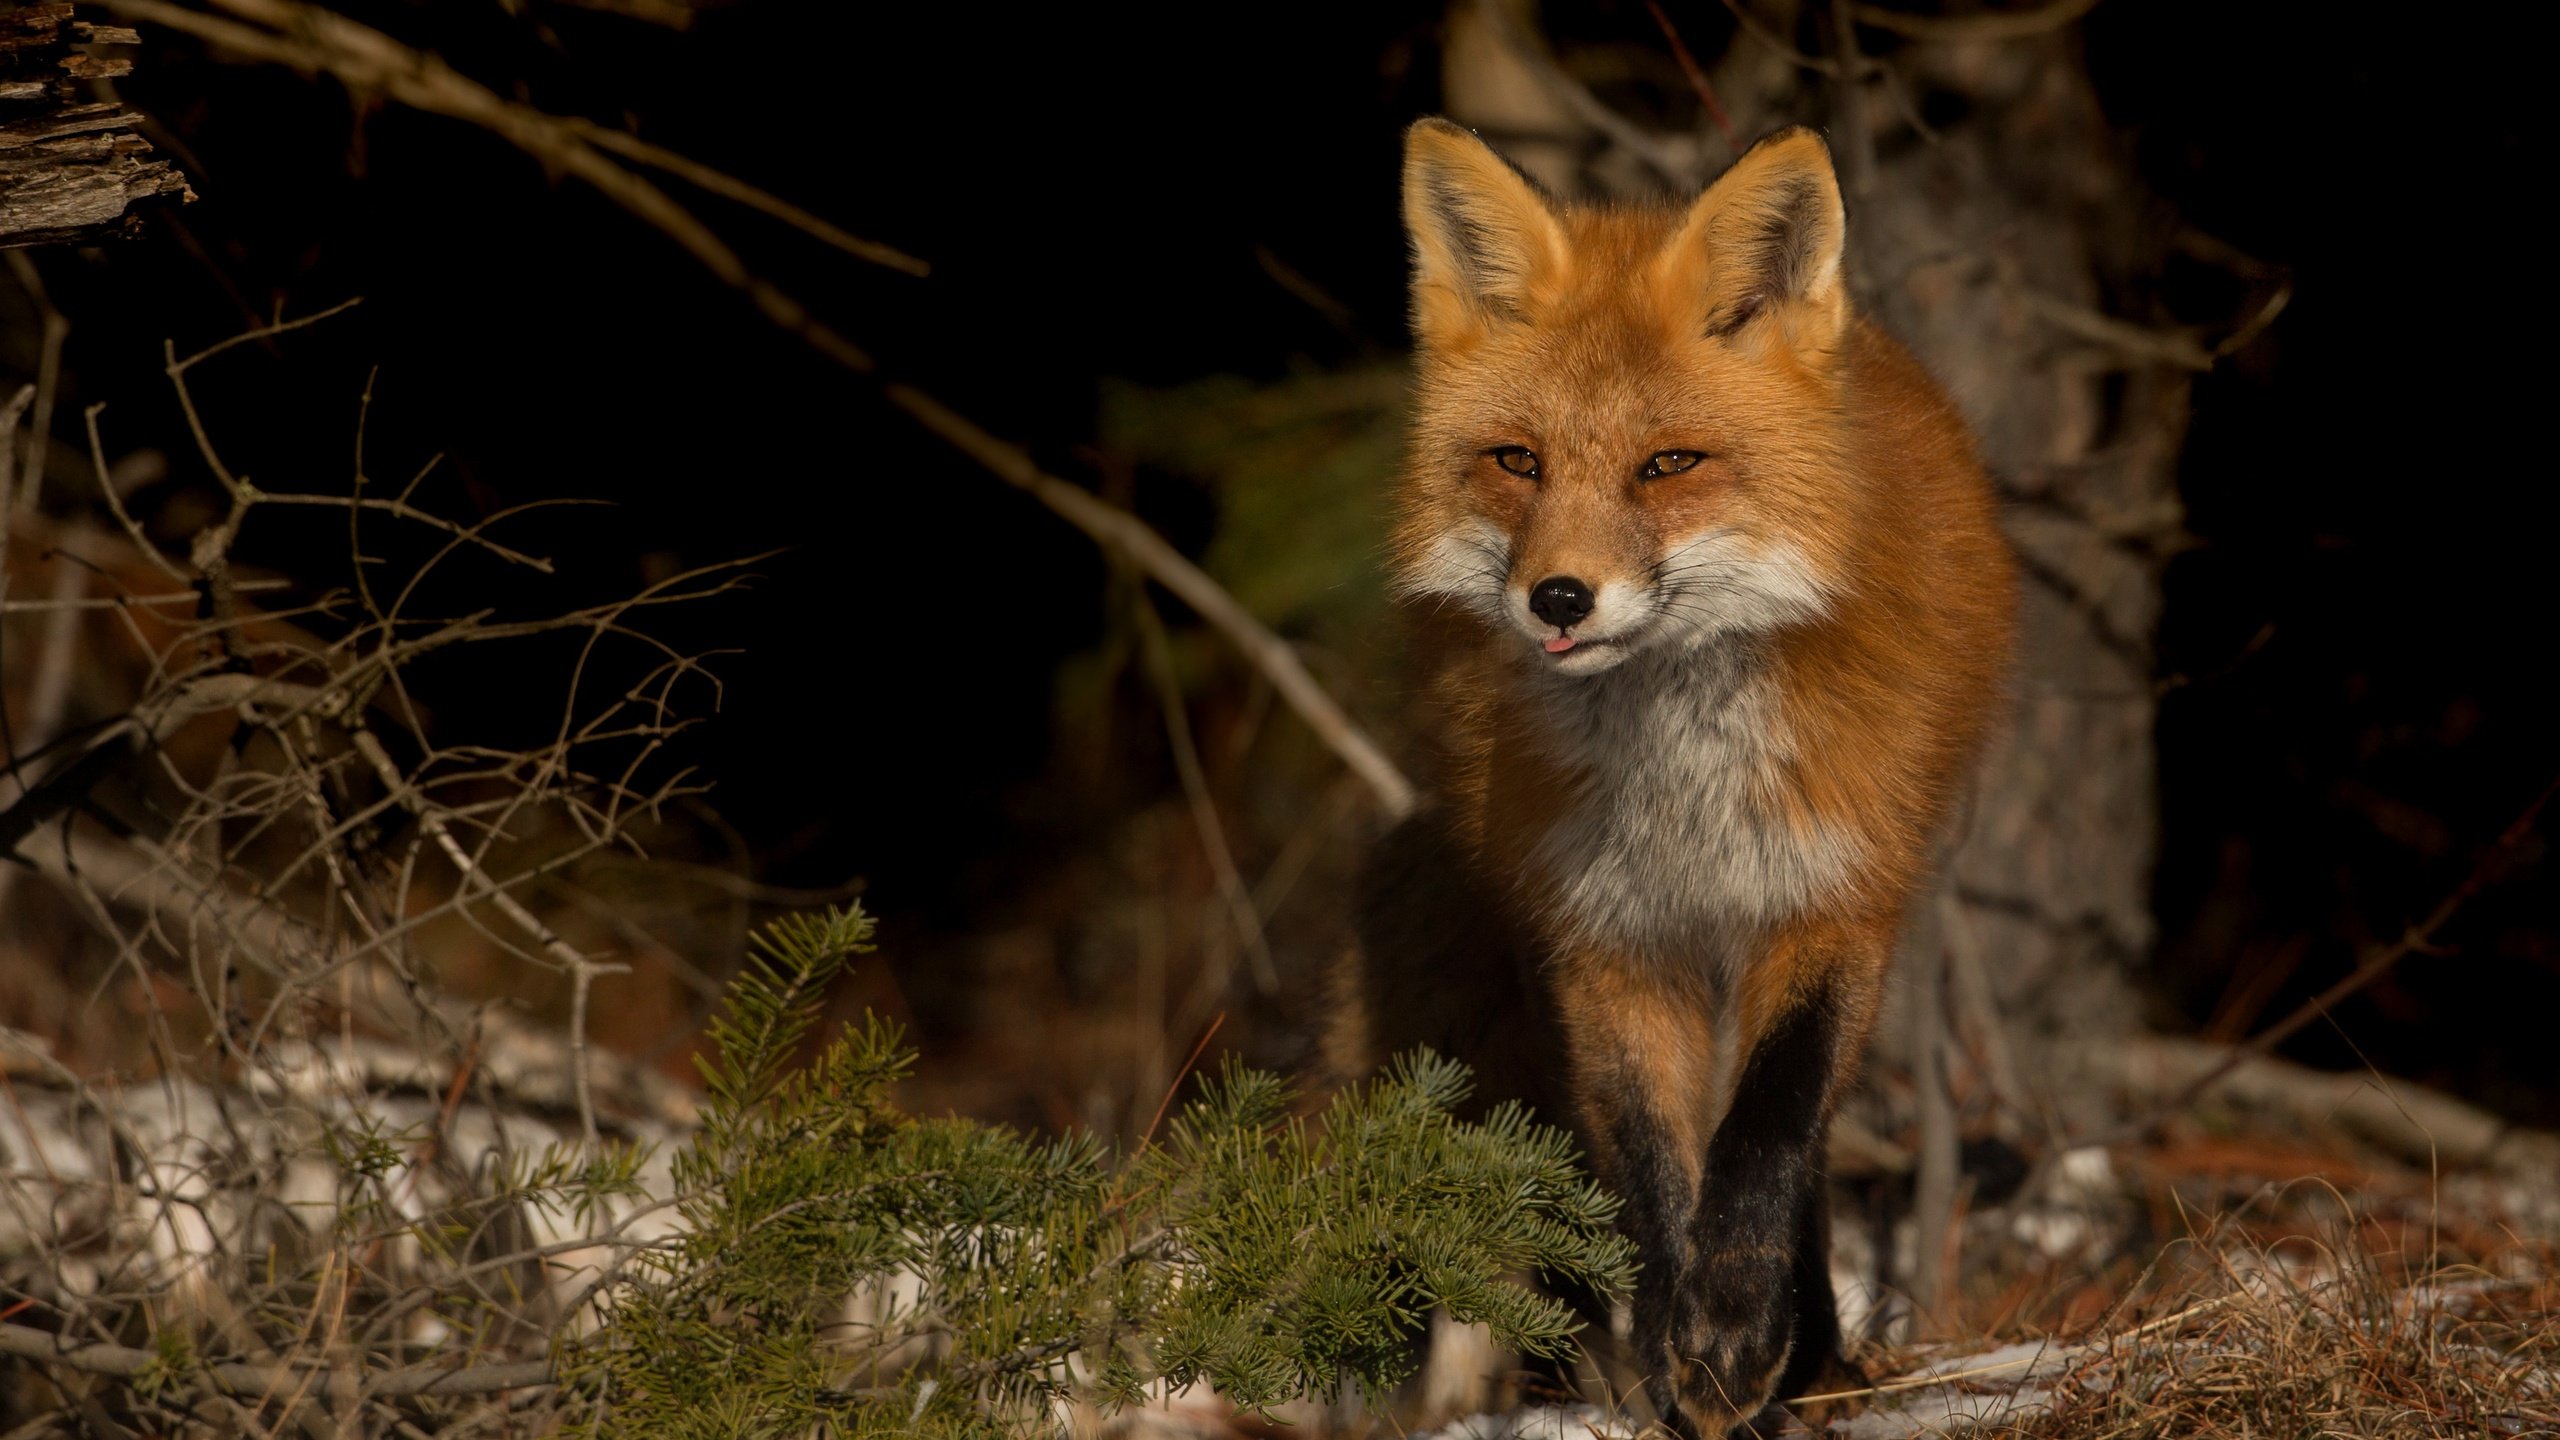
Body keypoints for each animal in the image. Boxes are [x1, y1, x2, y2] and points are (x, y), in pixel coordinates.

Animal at [1331, 122, 2007, 1434]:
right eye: (1517, 461)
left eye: (1668, 465)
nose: (1557, 598)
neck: (1680, 783)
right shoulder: (1607, 936)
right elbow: (1647, 1169)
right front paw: (1674, 1346)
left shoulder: (1829, 902)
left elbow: (1771, 1127)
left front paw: (1738, 1332)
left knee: (1802, 1144)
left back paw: (1811, 1352)